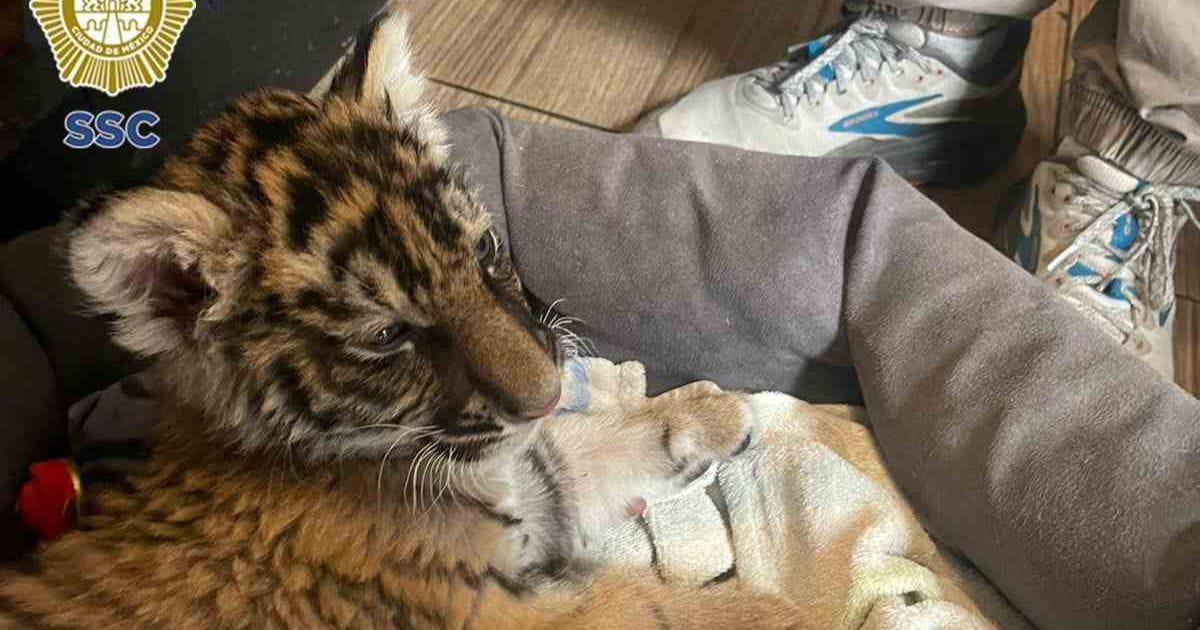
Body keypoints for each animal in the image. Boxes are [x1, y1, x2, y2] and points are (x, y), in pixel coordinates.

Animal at [0, 8, 802, 629]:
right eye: (389, 335)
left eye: (483, 250)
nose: (548, 394)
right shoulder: (509, 606)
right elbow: (668, 608)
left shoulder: (526, 485)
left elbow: (580, 448)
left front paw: (716, 413)